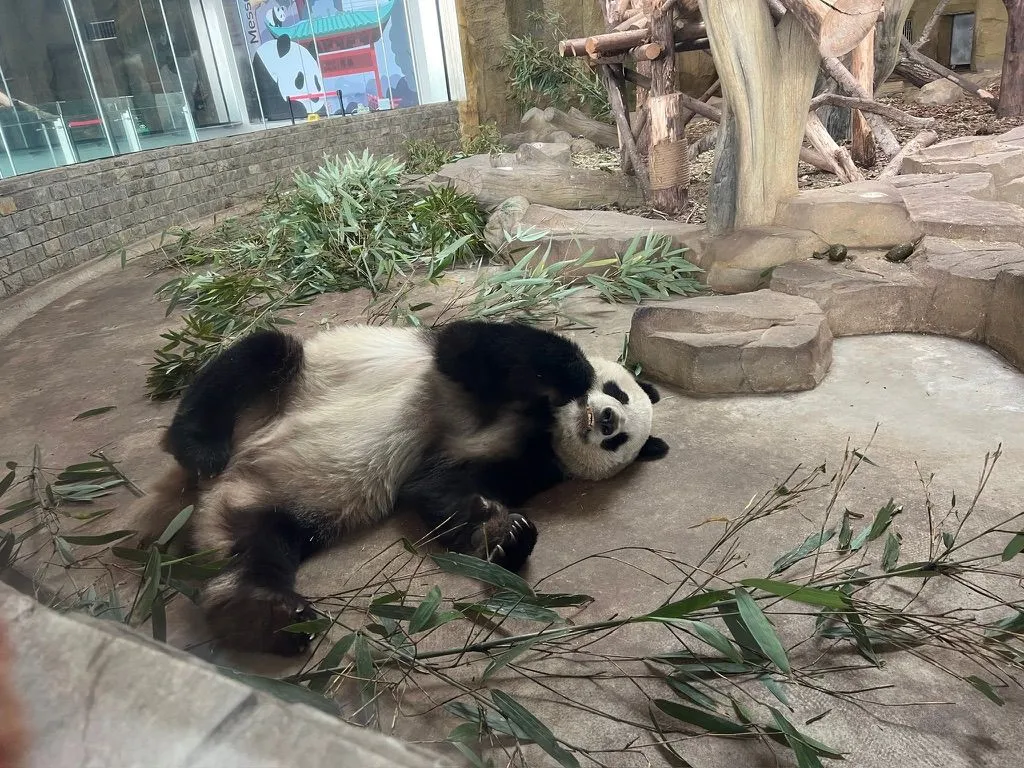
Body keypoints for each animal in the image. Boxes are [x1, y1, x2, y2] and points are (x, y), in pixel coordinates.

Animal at [139, 320, 669, 656]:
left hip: (281, 505)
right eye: (618, 393)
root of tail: (214, 487)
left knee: (254, 545)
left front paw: (506, 535)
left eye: (619, 439)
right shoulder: (472, 374)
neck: (545, 424)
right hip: (282, 390)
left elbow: (435, 487)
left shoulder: (525, 462)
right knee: (258, 357)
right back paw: (200, 447)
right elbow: (477, 346)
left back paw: (266, 615)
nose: (606, 418)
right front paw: (575, 375)